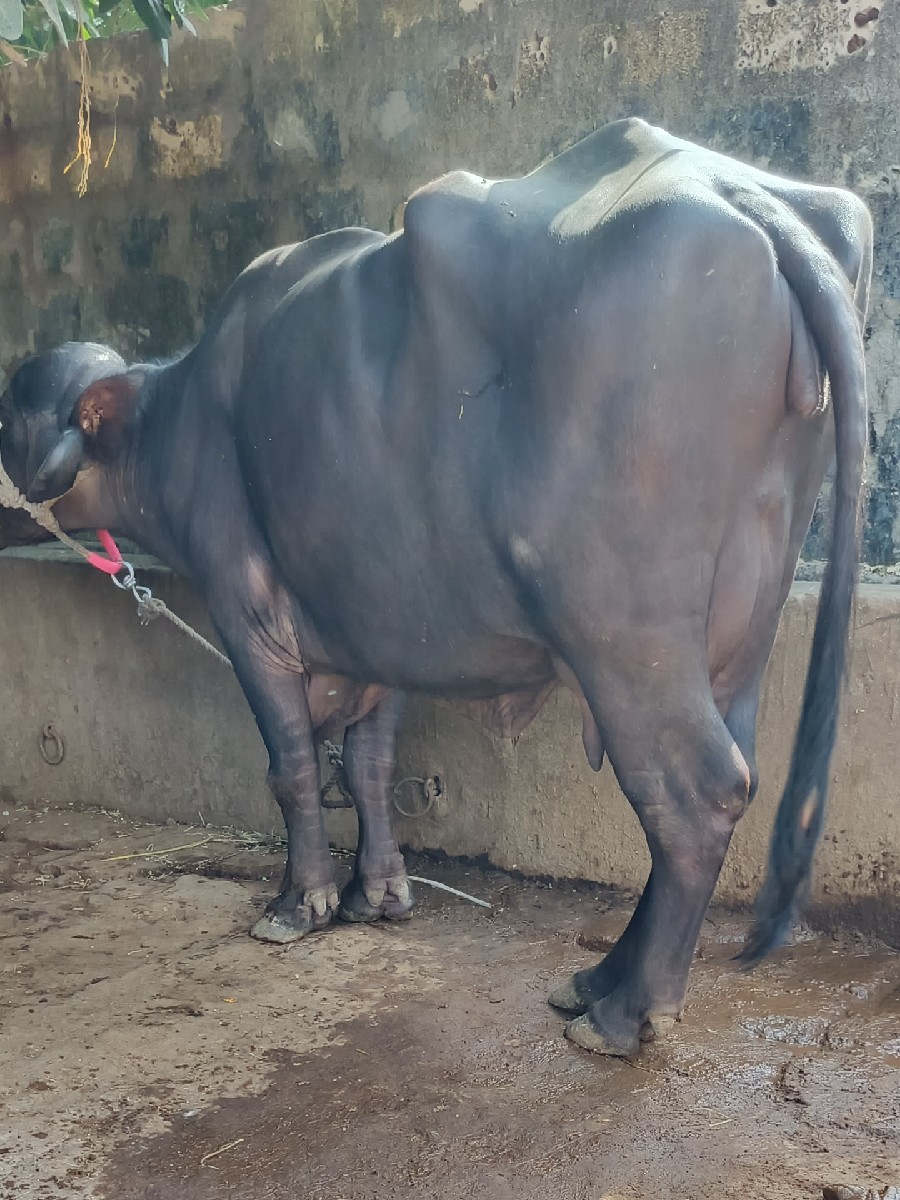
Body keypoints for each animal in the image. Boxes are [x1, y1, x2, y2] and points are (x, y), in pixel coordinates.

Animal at [0, 119, 872, 1058]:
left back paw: (624, 1012)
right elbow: (370, 765)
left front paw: (297, 903)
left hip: (628, 638)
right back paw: (597, 978)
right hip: (744, 629)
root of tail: (743, 193)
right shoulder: (381, 629)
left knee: (695, 795)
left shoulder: (248, 615)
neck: (178, 423)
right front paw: (377, 894)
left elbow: (292, 767)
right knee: (728, 776)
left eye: (7, 420)